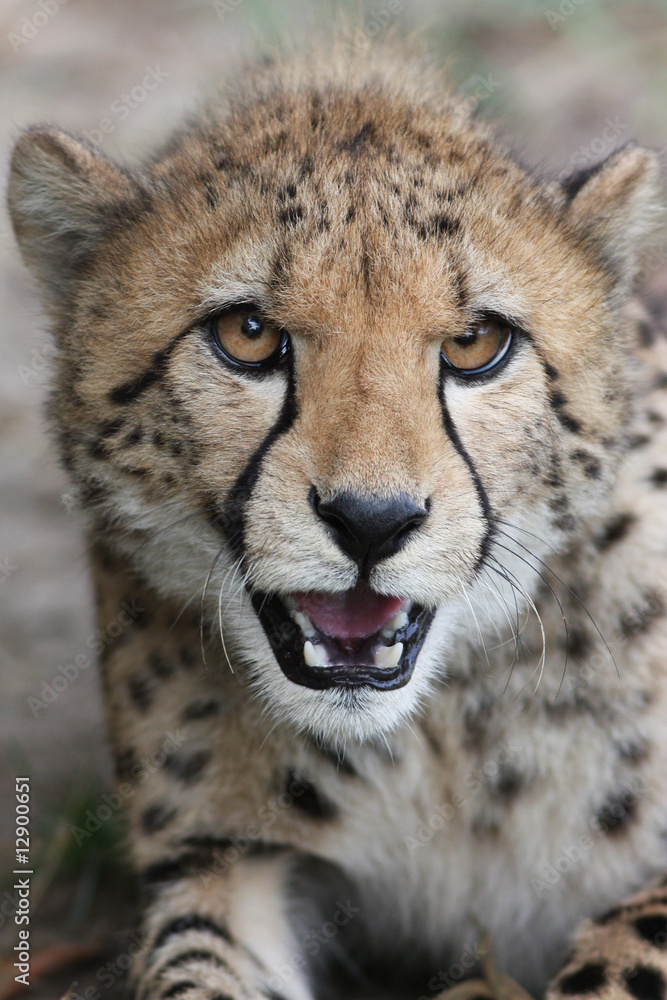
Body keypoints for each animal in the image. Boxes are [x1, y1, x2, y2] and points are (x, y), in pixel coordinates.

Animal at [7, 43, 667, 1000]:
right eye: (247, 333)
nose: (370, 521)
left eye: (475, 343)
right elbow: (194, 969)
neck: (438, 729)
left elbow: (625, 943)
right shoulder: (231, 859)